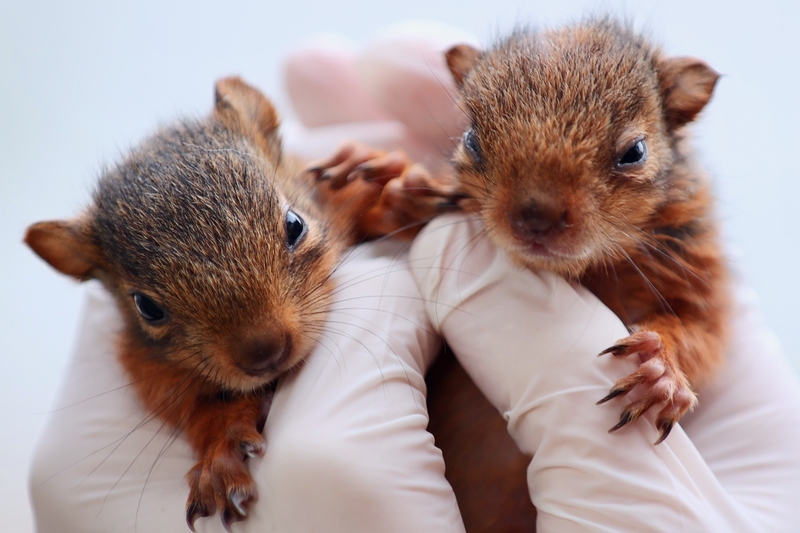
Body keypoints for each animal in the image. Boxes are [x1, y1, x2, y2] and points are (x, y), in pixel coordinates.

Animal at [25, 77, 450, 528]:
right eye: (147, 307)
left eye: (295, 225)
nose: (264, 352)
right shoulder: (156, 378)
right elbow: (201, 412)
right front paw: (221, 451)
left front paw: (393, 188)